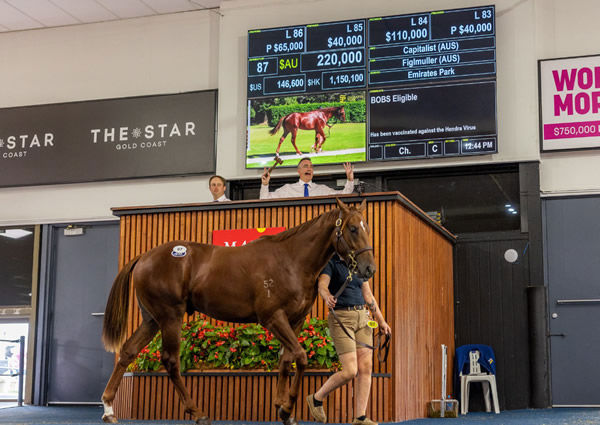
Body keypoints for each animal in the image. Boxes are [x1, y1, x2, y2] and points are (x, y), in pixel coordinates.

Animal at [102, 199, 376, 424]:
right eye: (353, 228)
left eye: (367, 228)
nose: (369, 268)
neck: (291, 260)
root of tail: (143, 257)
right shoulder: (273, 318)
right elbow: (300, 357)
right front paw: (287, 409)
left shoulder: (295, 320)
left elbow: (286, 360)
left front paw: (282, 408)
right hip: (170, 316)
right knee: (170, 360)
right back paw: (197, 413)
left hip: (152, 319)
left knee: (128, 351)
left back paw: (108, 409)